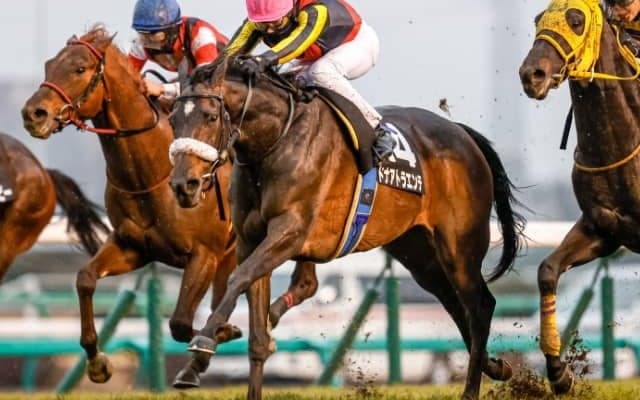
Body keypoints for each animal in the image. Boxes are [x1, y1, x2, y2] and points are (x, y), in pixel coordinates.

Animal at [20, 26, 319, 386]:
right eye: (49, 65)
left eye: (79, 68)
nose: (33, 114)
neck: (151, 175)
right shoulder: (133, 246)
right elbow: (86, 279)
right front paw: (98, 363)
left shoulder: (204, 254)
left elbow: (179, 323)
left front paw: (222, 333)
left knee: (303, 283)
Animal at [167, 56, 526, 400]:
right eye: (172, 120)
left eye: (210, 117)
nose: (183, 185)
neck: (276, 141)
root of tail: (462, 133)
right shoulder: (250, 241)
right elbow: (256, 331)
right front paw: (203, 364)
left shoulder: (289, 232)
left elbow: (238, 278)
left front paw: (202, 345)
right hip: (418, 252)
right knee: (454, 303)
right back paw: (496, 367)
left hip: (459, 246)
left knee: (479, 306)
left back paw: (471, 389)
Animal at [519, 0, 640, 394]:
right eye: (537, 20)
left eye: (576, 20)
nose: (532, 74)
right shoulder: (601, 229)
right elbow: (547, 271)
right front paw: (559, 375)